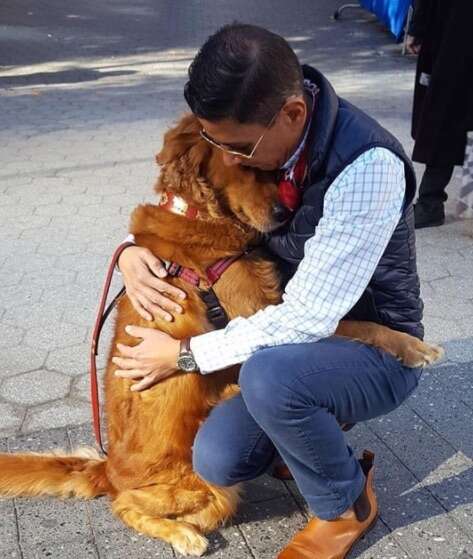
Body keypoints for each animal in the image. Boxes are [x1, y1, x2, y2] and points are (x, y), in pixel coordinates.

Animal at [0, 114, 442, 556]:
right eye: (244, 166)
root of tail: (107, 468)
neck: (200, 215)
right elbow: (350, 324)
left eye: (273, 171)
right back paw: (185, 533)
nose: (283, 212)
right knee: (126, 505)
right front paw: (414, 346)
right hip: (209, 490)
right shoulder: (257, 310)